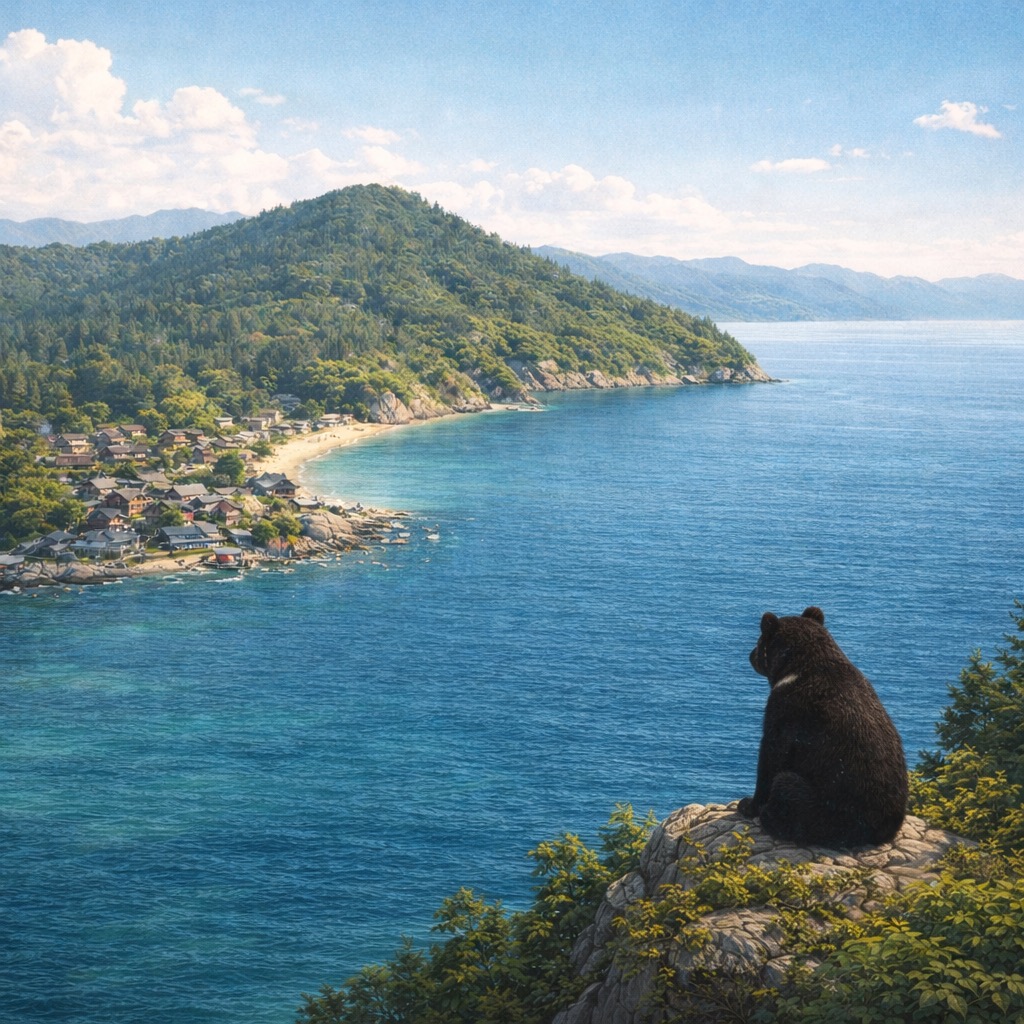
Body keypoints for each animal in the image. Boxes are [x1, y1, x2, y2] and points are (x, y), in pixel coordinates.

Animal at [737, 606, 908, 848]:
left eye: (760, 641)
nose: (751, 655)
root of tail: (882, 832)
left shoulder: (785, 712)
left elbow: (771, 757)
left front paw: (748, 804)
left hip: (831, 807)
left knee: (787, 786)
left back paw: (771, 818)